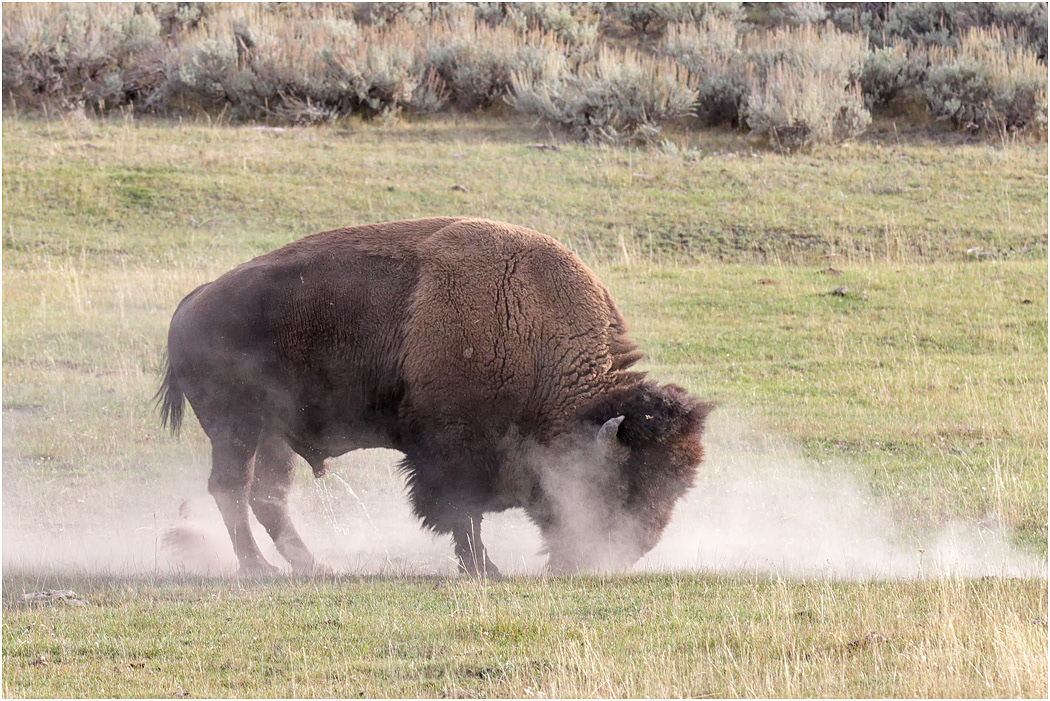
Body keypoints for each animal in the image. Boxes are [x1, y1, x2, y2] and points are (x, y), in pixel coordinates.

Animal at [157, 217, 712, 576]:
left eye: (677, 488)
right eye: (623, 486)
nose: (618, 556)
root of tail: (193, 302)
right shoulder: (452, 452)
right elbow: (461, 514)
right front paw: (486, 570)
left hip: (273, 432)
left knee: (268, 495)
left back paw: (315, 566)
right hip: (235, 428)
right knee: (231, 488)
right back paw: (259, 570)